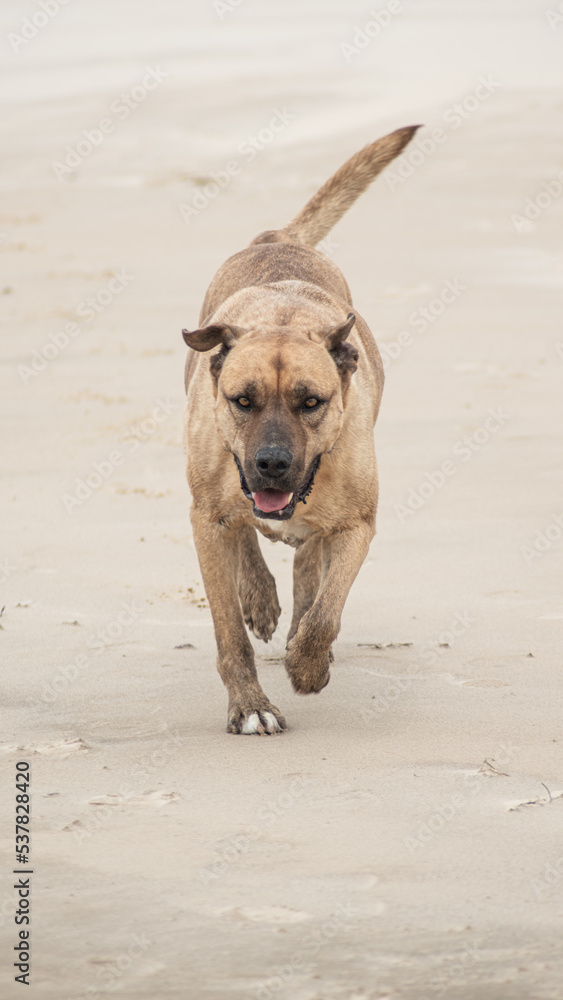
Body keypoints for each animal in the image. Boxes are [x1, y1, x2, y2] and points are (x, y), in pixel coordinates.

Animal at [184, 125, 418, 736]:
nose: (271, 462)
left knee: (309, 564)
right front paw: (250, 705)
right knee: (248, 541)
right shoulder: (205, 520)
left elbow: (326, 611)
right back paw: (261, 598)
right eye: (243, 401)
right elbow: (229, 631)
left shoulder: (358, 524)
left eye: (311, 401)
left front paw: (308, 664)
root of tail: (276, 237)